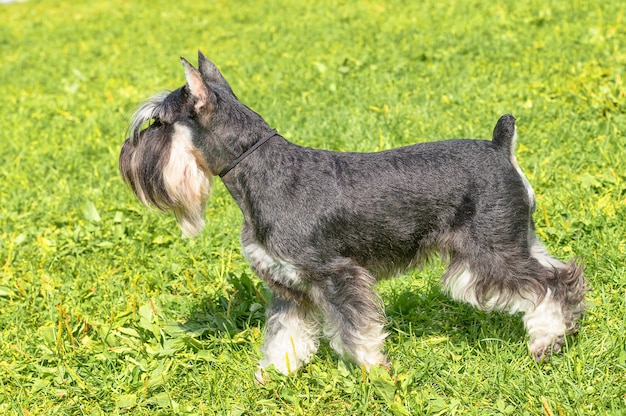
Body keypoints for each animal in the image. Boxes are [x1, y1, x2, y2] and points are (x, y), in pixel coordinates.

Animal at [118, 51, 584, 376]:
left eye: (157, 123)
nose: (125, 155)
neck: (261, 170)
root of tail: (500, 146)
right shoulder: (287, 287)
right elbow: (284, 334)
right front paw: (275, 375)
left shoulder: (337, 275)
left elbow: (354, 331)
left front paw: (374, 371)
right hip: (513, 240)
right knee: (557, 269)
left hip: (491, 254)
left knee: (552, 283)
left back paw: (547, 342)